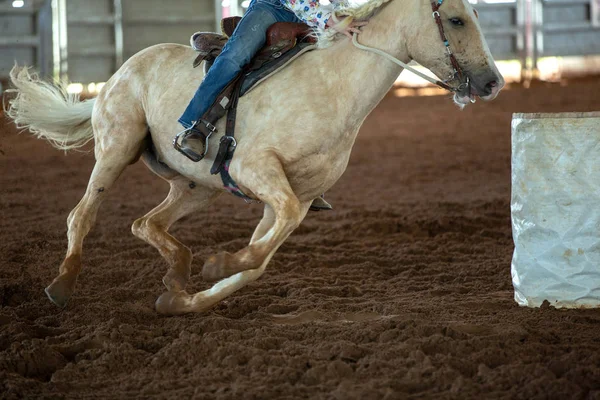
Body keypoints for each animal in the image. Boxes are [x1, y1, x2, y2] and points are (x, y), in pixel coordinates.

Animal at [7, 0, 504, 314]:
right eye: (456, 20)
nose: (493, 82)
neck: (335, 86)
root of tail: (120, 71)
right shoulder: (256, 170)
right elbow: (268, 238)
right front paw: (217, 265)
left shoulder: (294, 196)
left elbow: (260, 259)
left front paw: (186, 299)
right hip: (116, 149)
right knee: (81, 216)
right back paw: (62, 286)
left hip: (196, 187)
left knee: (143, 223)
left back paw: (178, 273)